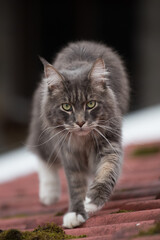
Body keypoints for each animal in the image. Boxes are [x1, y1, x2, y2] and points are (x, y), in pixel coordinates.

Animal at [27, 41, 129, 229]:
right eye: (66, 107)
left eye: (91, 104)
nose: (80, 122)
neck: (83, 140)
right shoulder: (68, 153)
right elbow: (75, 185)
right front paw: (76, 212)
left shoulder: (110, 144)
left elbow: (107, 171)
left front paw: (92, 201)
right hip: (44, 137)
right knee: (43, 157)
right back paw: (49, 192)